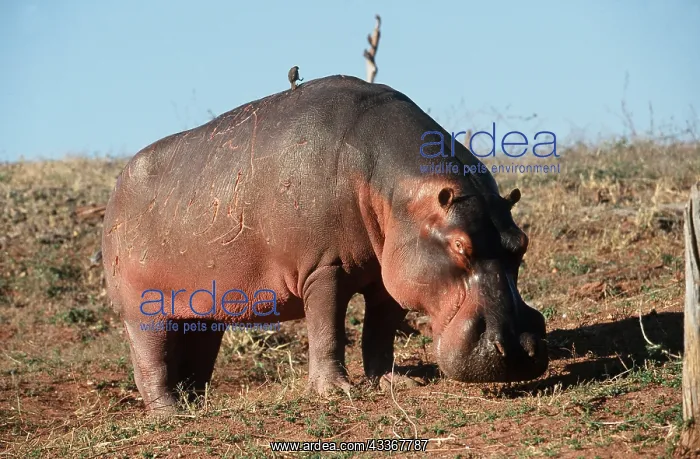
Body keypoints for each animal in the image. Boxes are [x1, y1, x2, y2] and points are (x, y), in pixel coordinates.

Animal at [102, 75, 548, 412]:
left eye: (521, 243)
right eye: (459, 247)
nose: (518, 349)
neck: (391, 186)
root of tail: (117, 186)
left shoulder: (389, 274)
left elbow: (380, 331)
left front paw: (392, 381)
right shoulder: (323, 267)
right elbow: (327, 327)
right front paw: (335, 390)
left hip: (201, 308)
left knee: (196, 352)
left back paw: (197, 403)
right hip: (143, 308)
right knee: (150, 360)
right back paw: (170, 412)